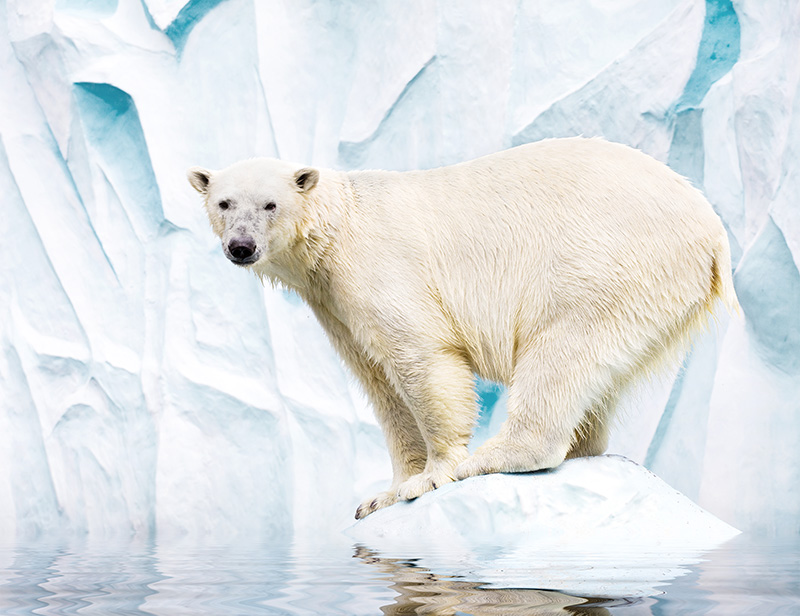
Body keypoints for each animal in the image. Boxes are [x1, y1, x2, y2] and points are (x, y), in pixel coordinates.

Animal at [187, 137, 737, 520]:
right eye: (224, 203)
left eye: (270, 204)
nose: (241, 246)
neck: (340, 227)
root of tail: (712, 230)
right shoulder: (336, 305)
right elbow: (380, 385)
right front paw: (383, 495)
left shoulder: (380, 270)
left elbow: (421, 361)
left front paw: (434, 475)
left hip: (607, 260)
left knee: (562, 349)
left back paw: (498, 455)